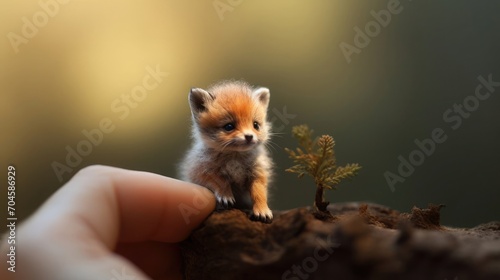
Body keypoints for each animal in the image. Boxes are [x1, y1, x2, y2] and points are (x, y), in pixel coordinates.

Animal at [180, 81, 274, 223]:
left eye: (256, 125)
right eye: (229, 126)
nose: (249, 136)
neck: (235, 157)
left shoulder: (257, 173)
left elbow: (259, 193)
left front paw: (262, 210)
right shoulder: (203, 170)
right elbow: (220, 181)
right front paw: (225, 195)